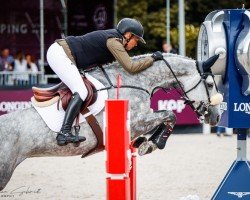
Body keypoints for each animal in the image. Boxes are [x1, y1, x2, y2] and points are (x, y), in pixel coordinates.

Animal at [0, 52, 222, 190]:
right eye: (211, 84)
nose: (216, 116)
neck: (135, 80)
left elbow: (165, 117)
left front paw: (144, 143)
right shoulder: (137, 121)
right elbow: (170, 115)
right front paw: (152, 144)